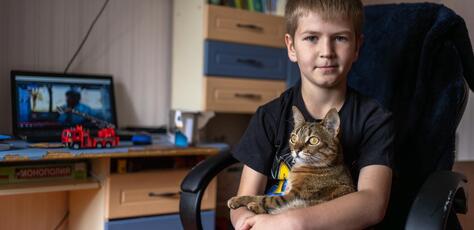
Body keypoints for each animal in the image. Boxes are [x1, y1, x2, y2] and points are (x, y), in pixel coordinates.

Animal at [227, 106, 356, 214]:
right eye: (294, 138)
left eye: (313, 140)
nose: (297, 150)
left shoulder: (292, 195)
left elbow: (265, 198)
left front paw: (239, 200)